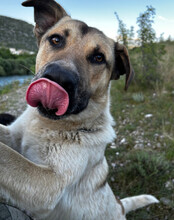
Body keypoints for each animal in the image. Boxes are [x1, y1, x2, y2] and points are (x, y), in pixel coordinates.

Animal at [0, 0, 158, 219]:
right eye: (56, 39)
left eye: (98, 57)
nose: (58, 78)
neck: (48, 124)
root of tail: (120, 205)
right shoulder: (13, 136)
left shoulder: (49, 184)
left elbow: (6, 155)